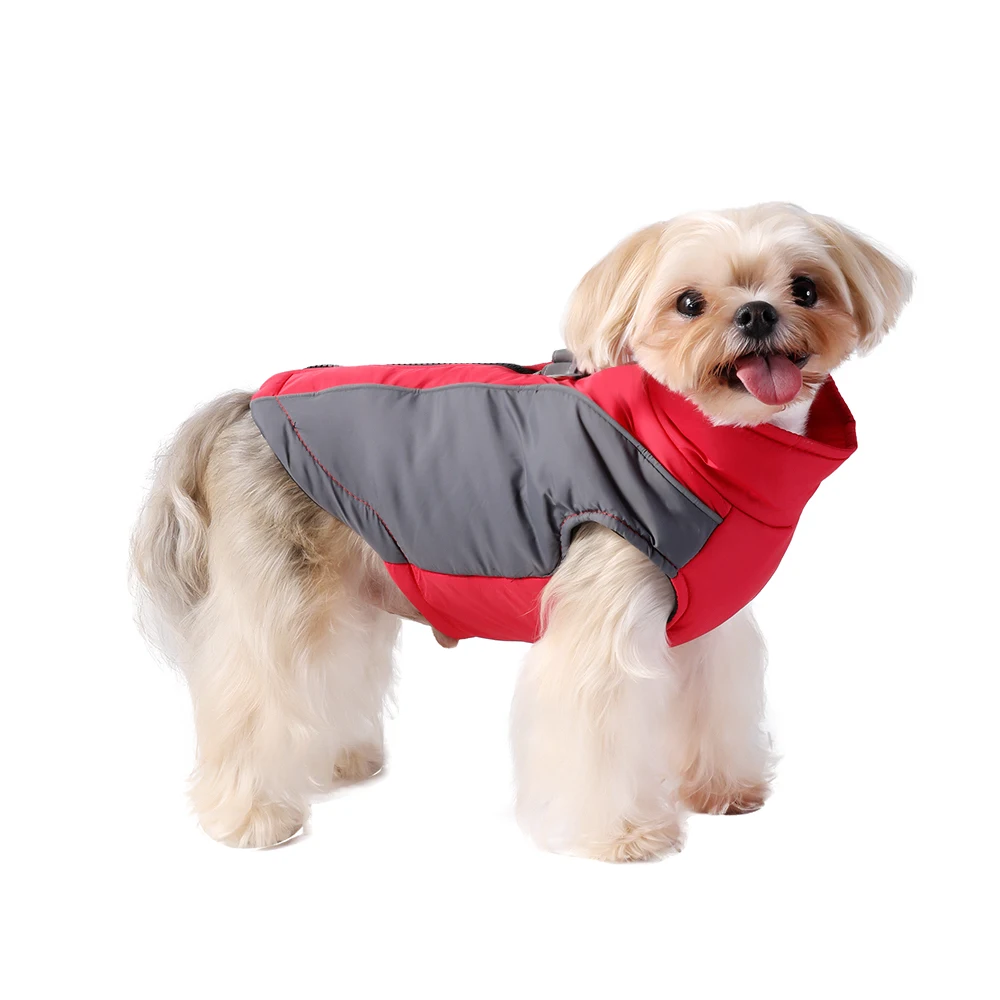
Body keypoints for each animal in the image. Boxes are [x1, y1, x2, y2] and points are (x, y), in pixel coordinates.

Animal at [131, 203, 911, 860]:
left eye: (805, 288)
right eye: (689, 302)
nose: (756, 313)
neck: (700, 440)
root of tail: (245, 403)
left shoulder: (709, 622)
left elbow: (715, 698)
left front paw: (720, 789)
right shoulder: (604, 619)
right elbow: (599, 727)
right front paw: (622, 835)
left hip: (350, 582)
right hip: (282, 594)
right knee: (252, 690)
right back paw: (250, 816)